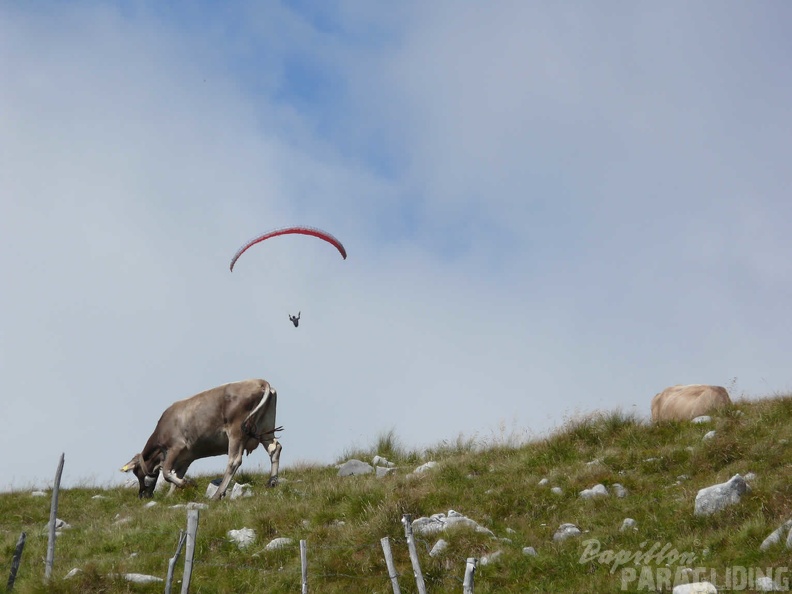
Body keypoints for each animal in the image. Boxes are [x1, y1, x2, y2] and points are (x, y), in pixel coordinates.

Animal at [120, 376, 282, 498]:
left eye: (137, 474)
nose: (141, 495)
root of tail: (260, 381)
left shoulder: (176, 447)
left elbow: (166, 473)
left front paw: (187, 483)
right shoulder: (186, 458)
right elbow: (175, 476)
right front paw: (171, 495)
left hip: (237, 431)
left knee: (234, 460)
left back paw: (218, 494)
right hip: (265, 429)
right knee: (275, 448)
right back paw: (272, 482)